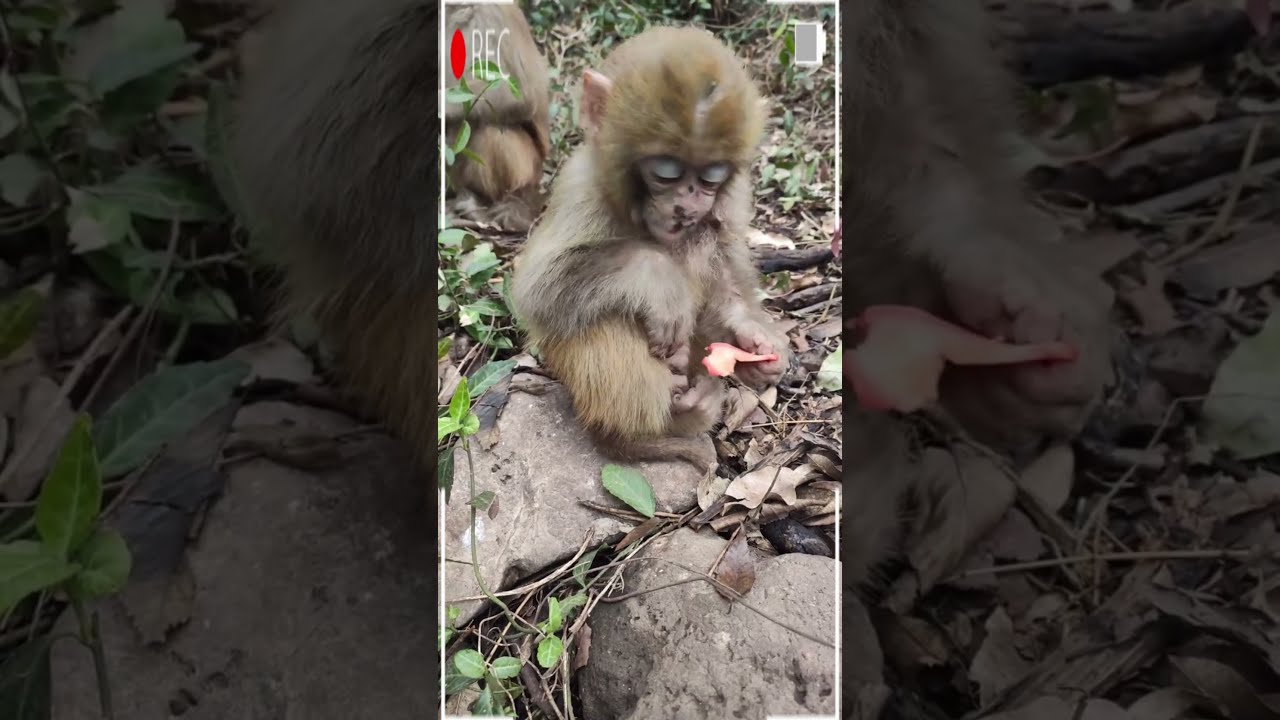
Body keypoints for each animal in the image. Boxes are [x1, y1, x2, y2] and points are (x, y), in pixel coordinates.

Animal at [510, 26, 791, 471]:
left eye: (711, 178)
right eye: (666, 174)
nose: (688, 203)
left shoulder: (731, 200)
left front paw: (754, 340)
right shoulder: (581, 188)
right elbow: (537, 292)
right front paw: (658, 279)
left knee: (703, 240)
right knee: (600, 318)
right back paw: (660, 426)